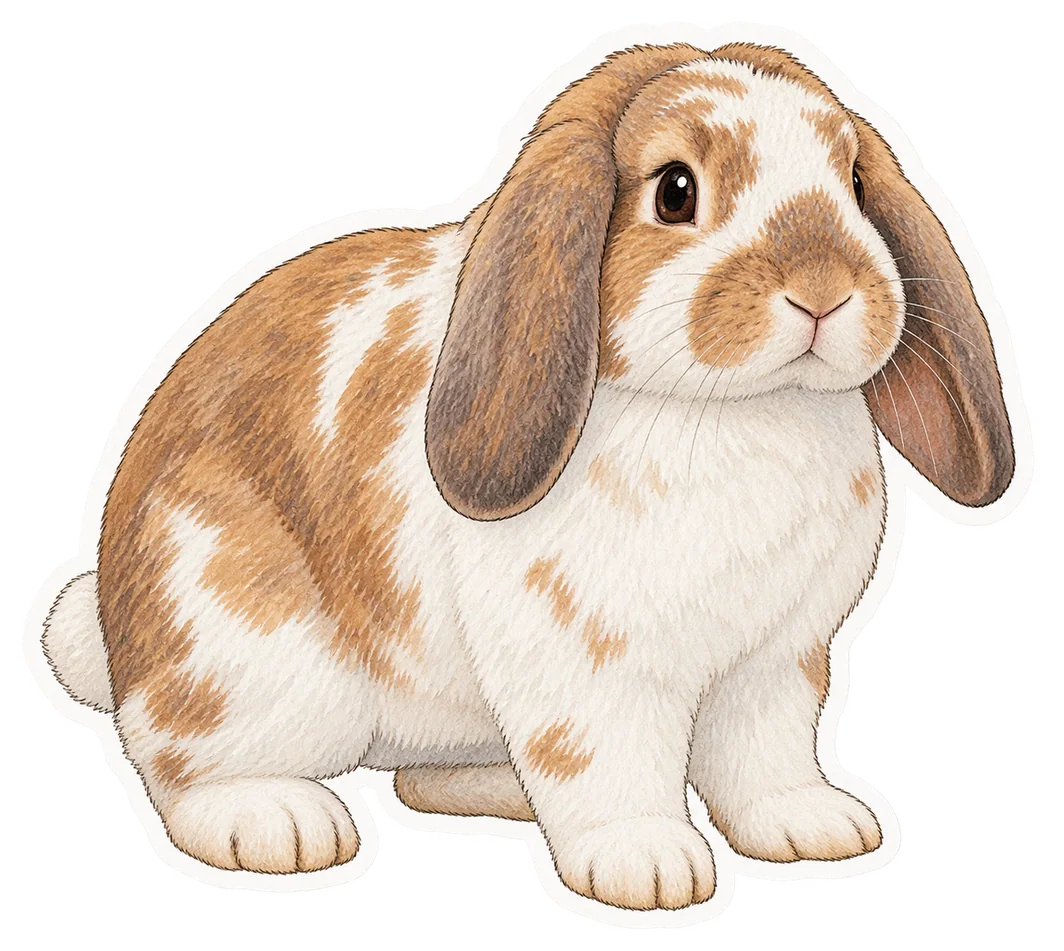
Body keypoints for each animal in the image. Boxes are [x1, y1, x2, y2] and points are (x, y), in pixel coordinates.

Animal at [41, 41, 1014, 910]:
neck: (735, 410)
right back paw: (277, 822)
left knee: (419, 779)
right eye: (675, 190)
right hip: (239, 643)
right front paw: (646, 863)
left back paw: (498, 791)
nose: (822, 288)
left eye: (851, 183)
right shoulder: (585, 666)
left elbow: (763, 758)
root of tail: (117, 631)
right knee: (178, 760)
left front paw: (815, 827)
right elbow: (604, 761)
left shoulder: (776, 661)